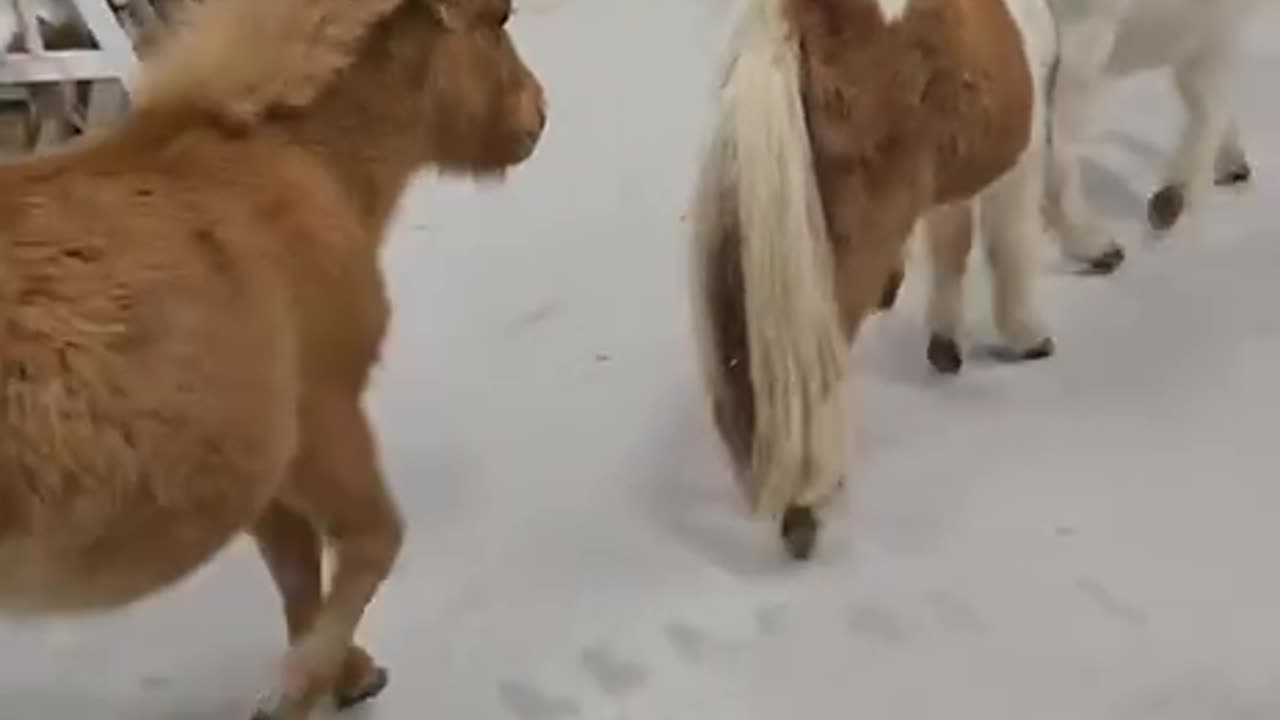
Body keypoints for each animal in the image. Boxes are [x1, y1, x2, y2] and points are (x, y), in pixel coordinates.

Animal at [0, 0, 545, 717]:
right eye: (499, 18)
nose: (538, 112)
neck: (303, 161)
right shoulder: (322, 417)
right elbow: (373, 542)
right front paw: (300, 687)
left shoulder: (266, 468)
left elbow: (296, 571)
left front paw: (345, 672)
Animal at [690, 0, 1068, 560]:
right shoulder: (1021, 160)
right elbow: (1011, 244)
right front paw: (1028, 336)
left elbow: (951, 245)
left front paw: (945, 343)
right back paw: (806, 506)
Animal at [1045, 0, 1263, 253]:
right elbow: (1210, 111)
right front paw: (1171, 203)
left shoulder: (1204, 36)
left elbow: (1212, 108)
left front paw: (1232, 168)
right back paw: (1097, 245)